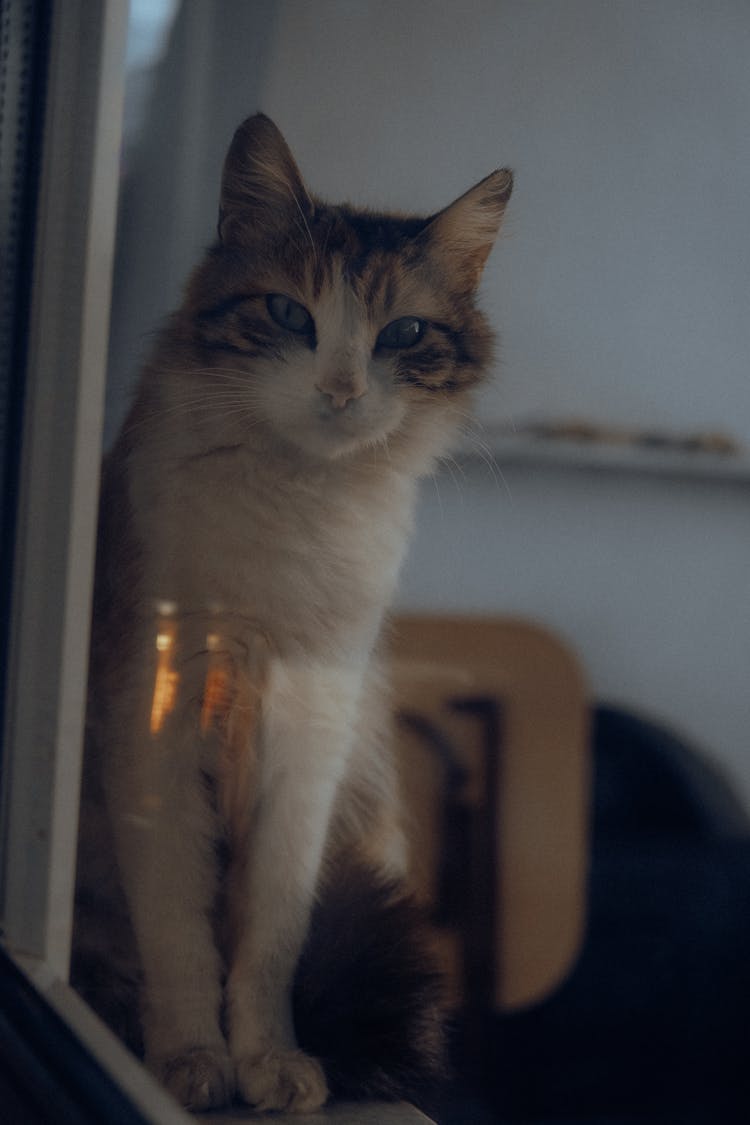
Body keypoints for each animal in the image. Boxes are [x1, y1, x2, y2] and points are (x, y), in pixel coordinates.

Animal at [73, 109, 512, 1111]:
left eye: (403, 333)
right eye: (288, 316)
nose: (340, 392)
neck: (294, 502)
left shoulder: (310, 728)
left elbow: (269, 942)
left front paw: (269, 1062)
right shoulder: (152, 719)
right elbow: (180, 937)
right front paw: (190, 1061)